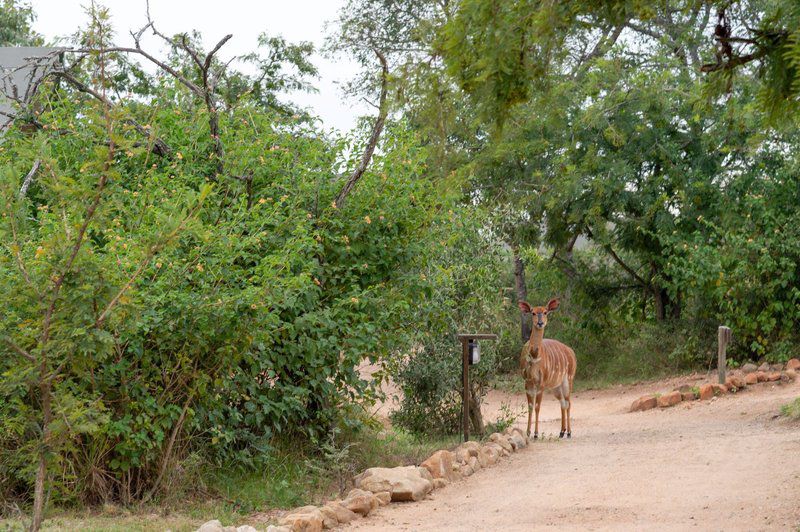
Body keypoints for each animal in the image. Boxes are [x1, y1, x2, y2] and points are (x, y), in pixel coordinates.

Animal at [520, 298, 576, 438]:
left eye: (545, 312)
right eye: (533, 312)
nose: (540, 323)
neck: (534, 357)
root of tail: (571, 352)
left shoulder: (541, 383)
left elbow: (537, 406)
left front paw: (535, 433)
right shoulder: (527, 382)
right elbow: (530, 406)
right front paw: (527, 432)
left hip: (568, 380)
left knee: (568, 402)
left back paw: (569, 432)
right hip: (555, 386)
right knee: (562, 403)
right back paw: (561, 432)